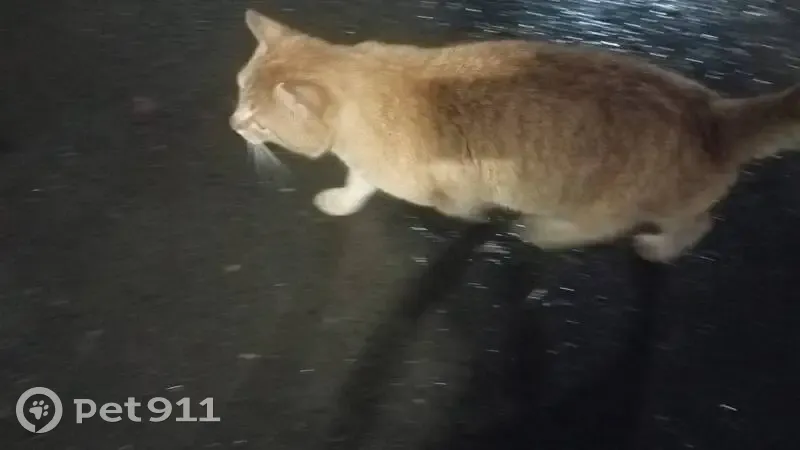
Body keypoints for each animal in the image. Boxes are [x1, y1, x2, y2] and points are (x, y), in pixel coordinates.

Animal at [230, 9, 800, 263]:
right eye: (237, 91)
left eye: (258, 120)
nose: (233, 124)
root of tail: (715, 115)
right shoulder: (371, 164)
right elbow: (358, 184)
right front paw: (343, 200)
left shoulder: (442, 180)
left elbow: (454, 202)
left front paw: (472, 214)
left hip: (613, 205)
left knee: (687, 224)